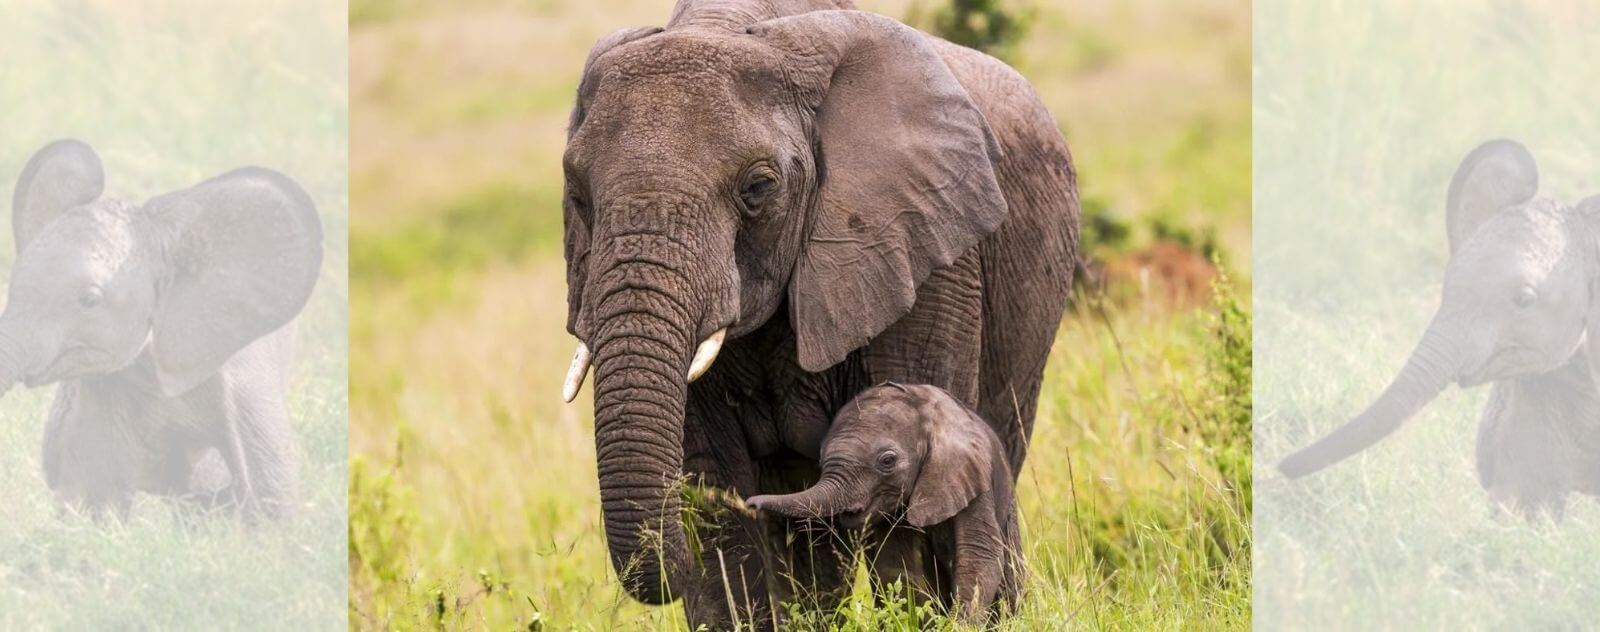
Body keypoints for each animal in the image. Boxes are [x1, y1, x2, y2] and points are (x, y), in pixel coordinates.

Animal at [742, 384, 1017, 620]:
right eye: (820, 460)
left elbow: (979, 556)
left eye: (887, 461)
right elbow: (896, 566)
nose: (749, 504)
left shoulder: (971, 476)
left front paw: (956, 624)